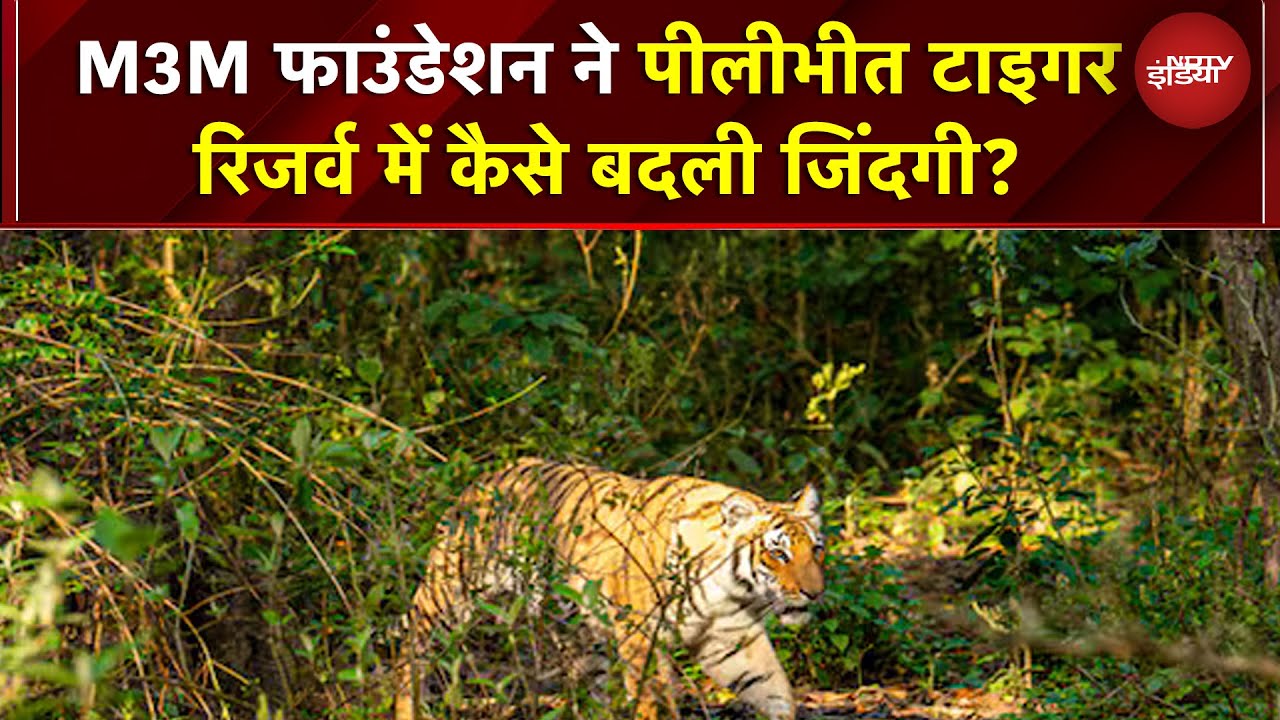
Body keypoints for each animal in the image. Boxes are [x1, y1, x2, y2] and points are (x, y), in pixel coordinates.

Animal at [393, 456, 826, 720]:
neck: (731, 589)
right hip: (447, 596)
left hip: (582, 636)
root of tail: (481, 478)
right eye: (778, 554)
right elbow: (655, 701)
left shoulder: (730, 639)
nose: (815, 594)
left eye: (816, 549)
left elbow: (773, 687)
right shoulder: (641, 635)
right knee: (412, 650)